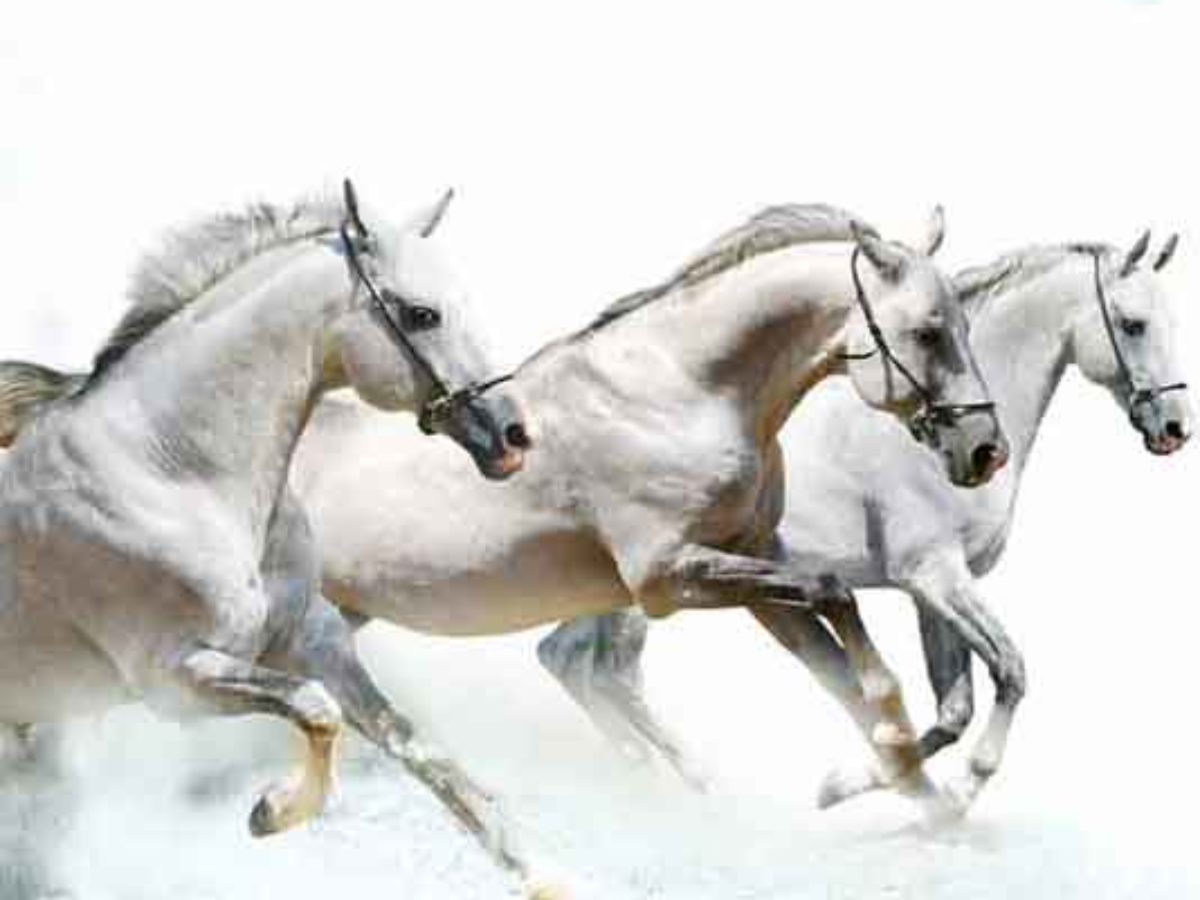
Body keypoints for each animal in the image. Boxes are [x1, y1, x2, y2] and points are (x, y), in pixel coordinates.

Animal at [539, 231, 1192, 816]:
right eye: (1134, 324)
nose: (1175, 428)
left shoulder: (931, 591)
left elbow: (953, 709)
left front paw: (859, 787)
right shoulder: (934, 575)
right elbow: (1010, 672)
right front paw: (946, 792)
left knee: (569, 659)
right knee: (605, 670)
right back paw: (694, 784)